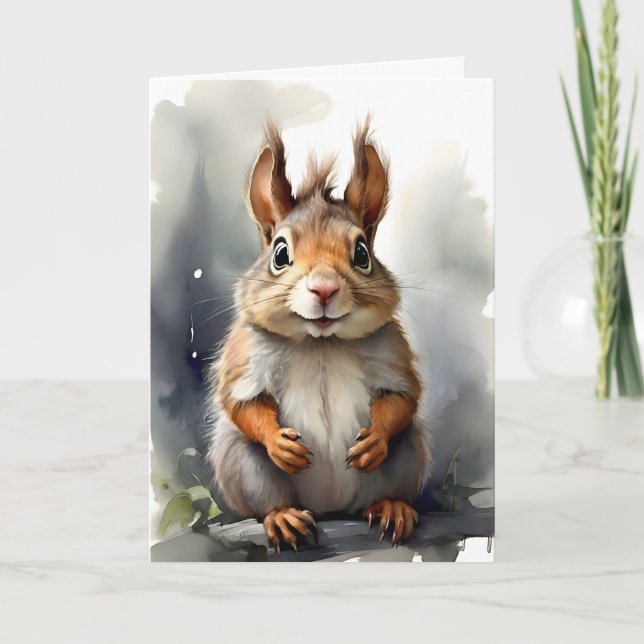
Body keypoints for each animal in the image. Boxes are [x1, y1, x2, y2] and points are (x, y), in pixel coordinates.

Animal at [207, 118, 430, 552]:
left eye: (362, 253)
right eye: (280, 254)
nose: (324, 289)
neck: (320, 342)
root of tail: (330, 508)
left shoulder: (391, 349)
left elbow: (402, 398)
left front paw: (374, 441)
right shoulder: (246, 355)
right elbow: (242, 404)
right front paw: (279, 443)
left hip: (408, 453)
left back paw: (391, 506)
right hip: (242, 464)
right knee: (265, 494)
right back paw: (282, 517)